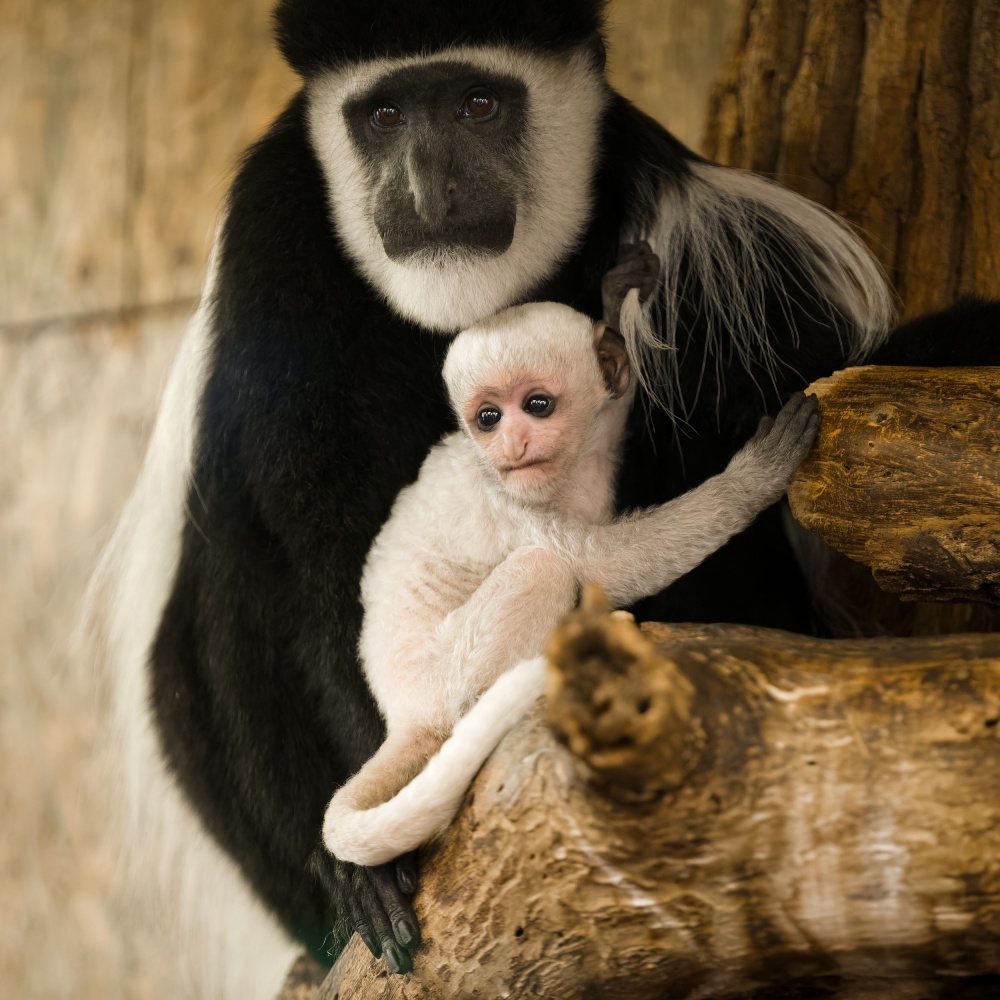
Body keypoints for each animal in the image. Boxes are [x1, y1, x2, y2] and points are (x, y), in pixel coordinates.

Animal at [324, 298, 816, 868]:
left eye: (536, 405)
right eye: (488, 418)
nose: (512, 443)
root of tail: (401, 711)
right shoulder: (510, 503)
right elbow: (605, 566)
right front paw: (755, 479)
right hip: (441, 674)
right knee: (544, 569)